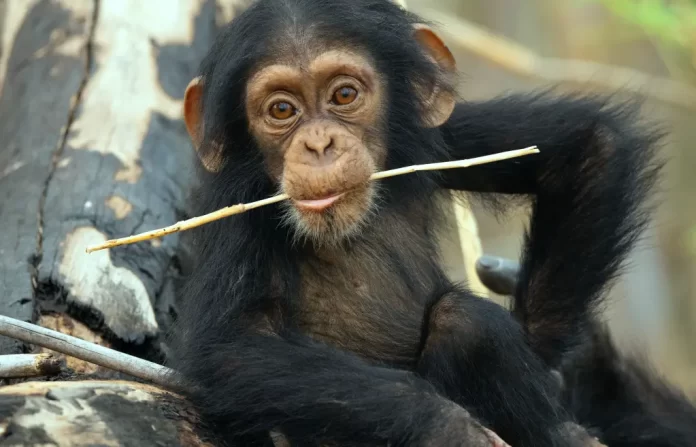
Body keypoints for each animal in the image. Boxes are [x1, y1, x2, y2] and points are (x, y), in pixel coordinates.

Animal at [167, 0, 662, 446]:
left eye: (343, 95)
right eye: (282, 110)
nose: (319, 144)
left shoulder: (442, 135)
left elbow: (586, 147)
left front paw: (549, 367)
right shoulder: (238, 212)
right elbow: (234, 348)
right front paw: (450, 427)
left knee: (466, 324)